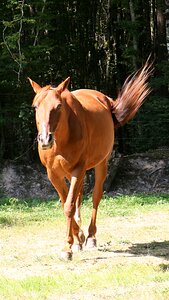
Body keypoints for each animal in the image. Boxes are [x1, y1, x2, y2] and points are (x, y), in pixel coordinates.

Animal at [28, 61, 152, 260]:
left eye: (59, 106)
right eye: (35, 107)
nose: (45, 139)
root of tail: (105, 100)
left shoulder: (78, 169)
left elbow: (69, 205)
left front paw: (67, 247)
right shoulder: (53, 174)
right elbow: (66, 203)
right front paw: (75, 239)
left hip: (101, 164)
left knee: (95, 196)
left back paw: (91, 237)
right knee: (79, 196)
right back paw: (80, 236)